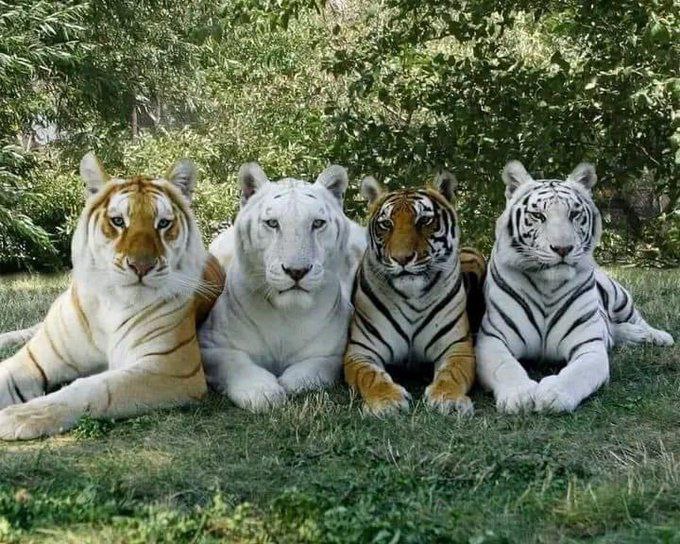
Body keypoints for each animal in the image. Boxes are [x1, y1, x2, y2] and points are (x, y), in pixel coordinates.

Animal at [0, 152, 225, 440]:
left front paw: (20, 415)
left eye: (163, 224)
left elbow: (94, 388)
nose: (141, 266)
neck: (112, 303)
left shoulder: (172, 368)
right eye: (118, 221)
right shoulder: (34, 359)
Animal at [199, 162, 365, 412]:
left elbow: (317, 367)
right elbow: (235, 362)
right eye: (272, 223)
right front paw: (262, 392)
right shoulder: (211, 345)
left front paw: (290, 382)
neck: (287, 314)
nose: (297, 271)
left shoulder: (335, 352)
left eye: (317, 223)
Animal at [343, 171, 486, 416]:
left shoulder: (457, 348)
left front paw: (449, 398)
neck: (412, 298)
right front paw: (386, 401)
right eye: (386, 224)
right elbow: (370, 376)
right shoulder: (360, 351)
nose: (402, 258)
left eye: (424, 221)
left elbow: (452, 374)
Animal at [476, 160, 674, 414]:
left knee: (635, 319)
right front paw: (519, 395)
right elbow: (505, 367)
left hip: (619, 296)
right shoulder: (492, 339)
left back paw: (656, 336)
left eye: (574, 214)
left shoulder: (589, 346)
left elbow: (578, 374)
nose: (563, 248)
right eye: (538, 215)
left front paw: (552, 394)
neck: (547, 286)